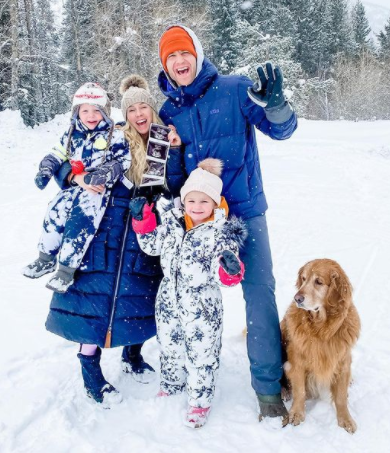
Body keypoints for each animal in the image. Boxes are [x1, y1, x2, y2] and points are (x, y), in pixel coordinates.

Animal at [280, 258, 360, 430]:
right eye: (303, 279)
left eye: (318, 282)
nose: (297, 298)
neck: (322, 329)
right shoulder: (296, 361)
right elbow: (300, 391)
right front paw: (296, 413)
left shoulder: (342, 361)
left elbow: (341, 397)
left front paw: (345, 420)